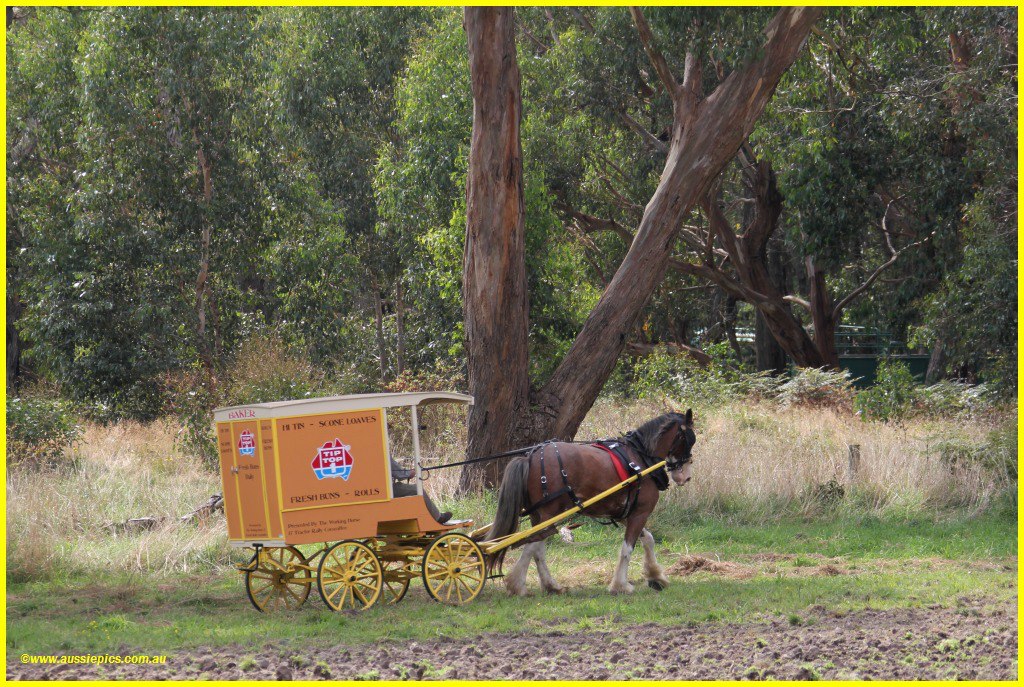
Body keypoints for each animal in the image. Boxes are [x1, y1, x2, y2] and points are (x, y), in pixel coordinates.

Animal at [483, 410, 696, 596]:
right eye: (689, 439)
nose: (685, 477)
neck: (640, 458)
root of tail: (531, 457)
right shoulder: (640, 513)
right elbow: (627, 549)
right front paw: (621, 586)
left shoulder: (627, 513)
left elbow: (648, 539)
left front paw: (656, 577)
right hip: (548, 514)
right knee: (531, 546)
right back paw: (518, 585)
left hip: (540, 516)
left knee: (537, 549)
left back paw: (551, 585)